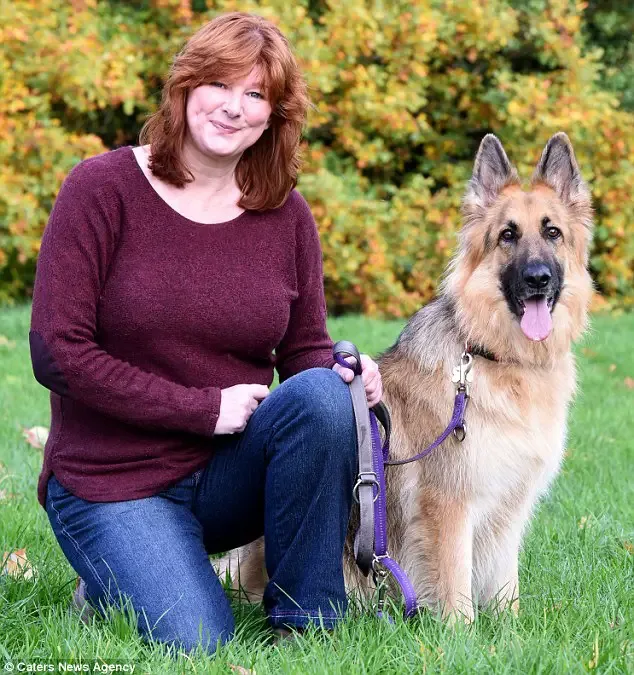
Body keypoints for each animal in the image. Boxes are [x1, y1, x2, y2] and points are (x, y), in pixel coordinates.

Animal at [217, 132, 592, 624]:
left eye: (552, 233)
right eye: (507, 235)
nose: (538, 278)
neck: (494, 356)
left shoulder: (508, 511)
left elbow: (505, 588)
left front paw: (509, 632)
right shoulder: (448, 506)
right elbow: (455, 589)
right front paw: (461, 635)